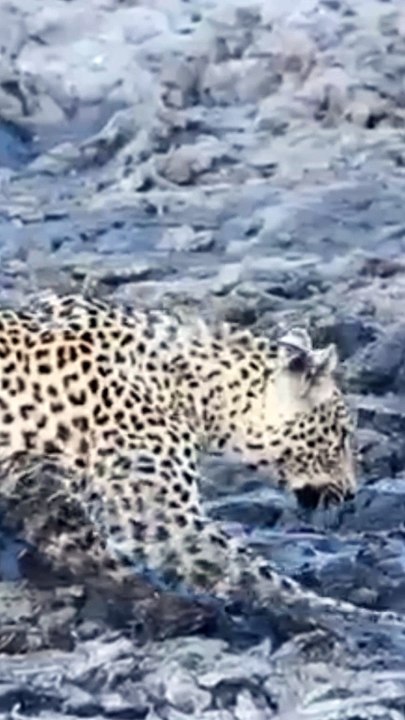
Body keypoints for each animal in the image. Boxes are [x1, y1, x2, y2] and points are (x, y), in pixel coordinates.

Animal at [0, 292, 400, 635]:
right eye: (341, 435)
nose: (352, 492)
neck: (196, 391)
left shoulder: (42, 495)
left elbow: (92, 556)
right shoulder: (160, 517)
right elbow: (250, 571)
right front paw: (354, 616)